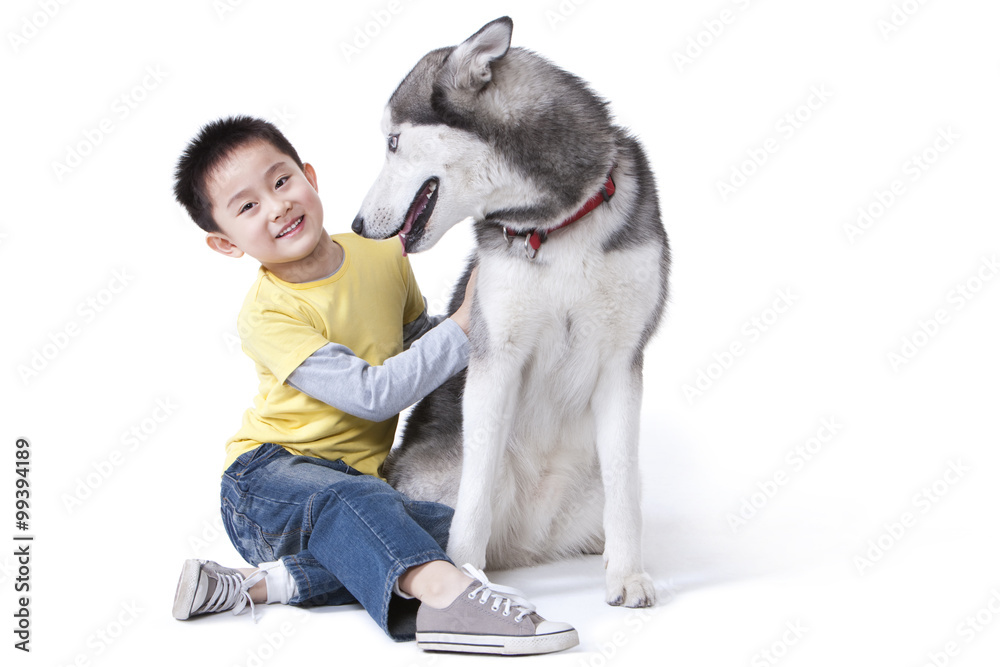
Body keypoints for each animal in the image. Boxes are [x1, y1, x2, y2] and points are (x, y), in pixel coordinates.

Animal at [352, 17, 672, 612]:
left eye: (392, 141)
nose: (358, 225)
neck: (557, 221)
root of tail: (528, 547)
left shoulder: (623, 358)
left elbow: (624, 484)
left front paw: (628, 576)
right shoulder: (494, 353)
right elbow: (476, 490)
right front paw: (462, 578)